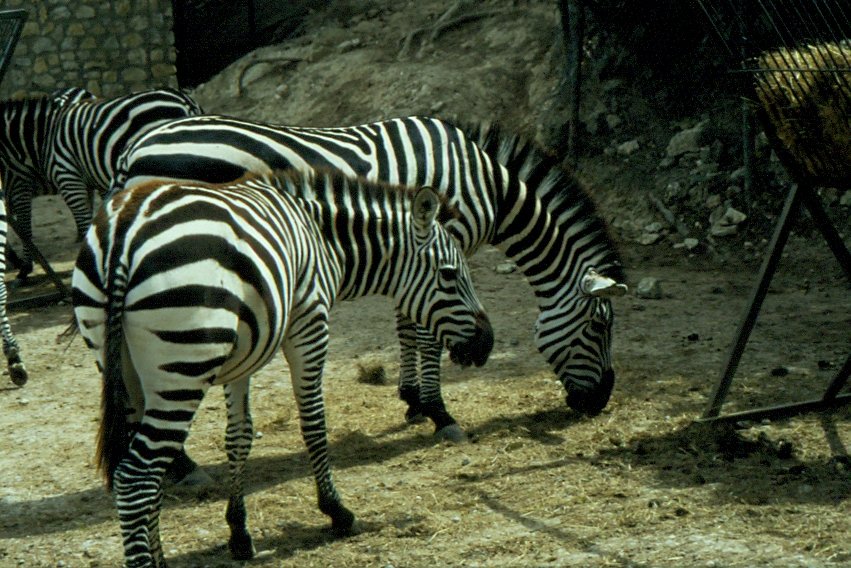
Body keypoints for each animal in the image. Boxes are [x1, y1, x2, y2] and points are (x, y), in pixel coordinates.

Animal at [72, 169, 492, 568]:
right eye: (450, 274)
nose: (486, 345)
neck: (323, 239)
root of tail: (125, 229)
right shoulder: (310, 322)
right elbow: (314, 422)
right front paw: (336, 512)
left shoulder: (243, 353)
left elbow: (239, 436)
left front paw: (239, 533)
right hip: (183, 369)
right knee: (136, 476)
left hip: (121, 366)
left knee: (143, 469)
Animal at [110, 113, 628, 442]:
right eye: (600, 326)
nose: (600, 401)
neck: (491, 189)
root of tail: (138, 147)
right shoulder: (443, 240)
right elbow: (426, 330)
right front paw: (437, 410)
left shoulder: (413, 253)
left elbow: (408, 323)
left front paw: (413, 399)